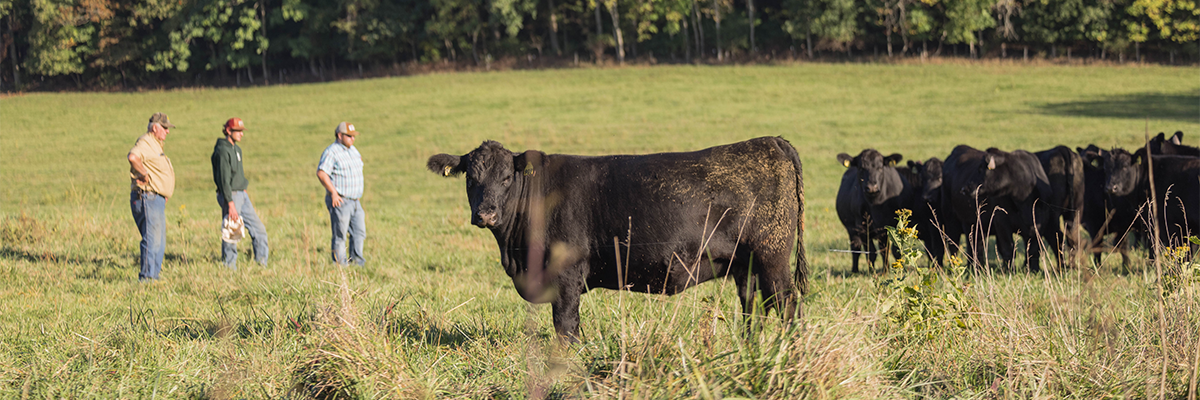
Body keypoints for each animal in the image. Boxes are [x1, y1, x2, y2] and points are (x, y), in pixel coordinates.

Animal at [427, 136, 811, 338]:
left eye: (507, 177)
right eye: (470, 178)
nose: (486, 213)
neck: (516, 253)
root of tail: (770, 142)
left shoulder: (567, 276)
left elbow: (566, 326)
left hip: (773, 256)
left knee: (786, 303)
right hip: (746, 264)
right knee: (753, 307)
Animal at [940, 144, 1056, 272]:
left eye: (982, 168)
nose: (964, 189)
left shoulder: (1039, 222)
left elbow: (1033, 250)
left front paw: (1033, 270)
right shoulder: (1001, 222)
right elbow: (1008, 249)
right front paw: (1010, 271)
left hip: (973, 223)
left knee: (976, 245)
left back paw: (977, 267)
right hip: (952, 220)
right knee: (955, 245)